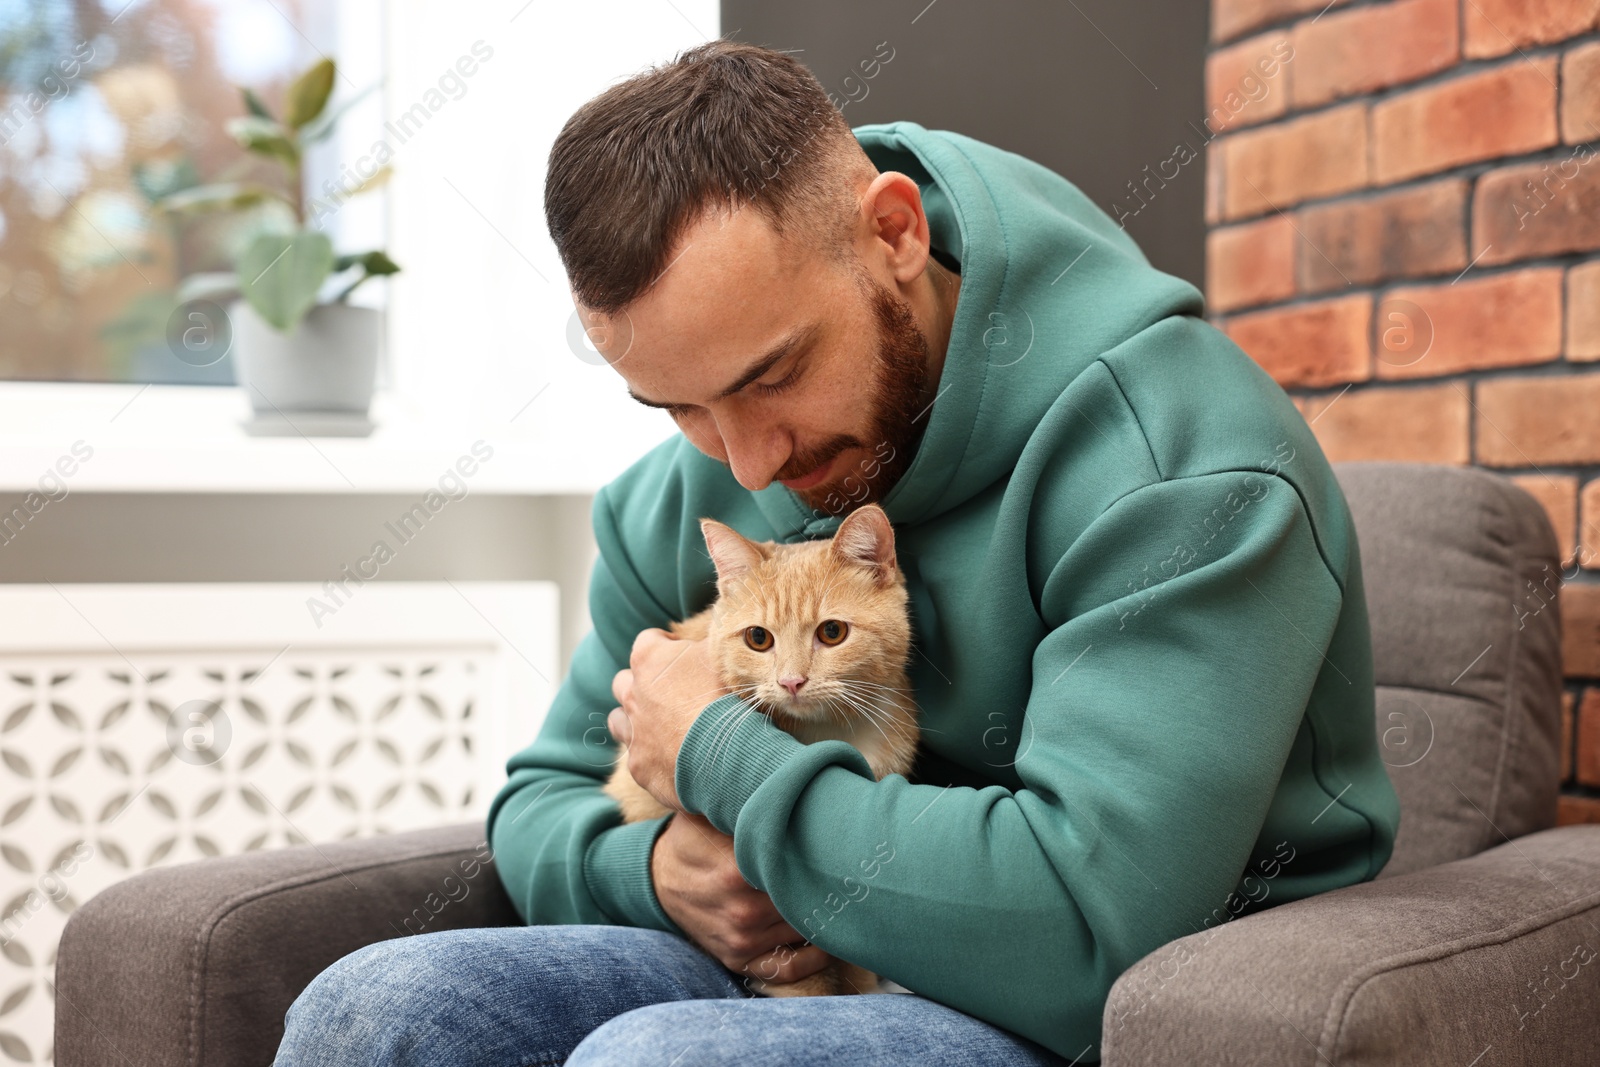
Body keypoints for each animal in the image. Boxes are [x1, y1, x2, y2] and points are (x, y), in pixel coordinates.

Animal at [601, 505, 928, 998]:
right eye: (758, 639)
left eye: (832, 632)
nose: (791, 681)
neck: (830, 729)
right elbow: (809, 977)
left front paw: (862, 988)